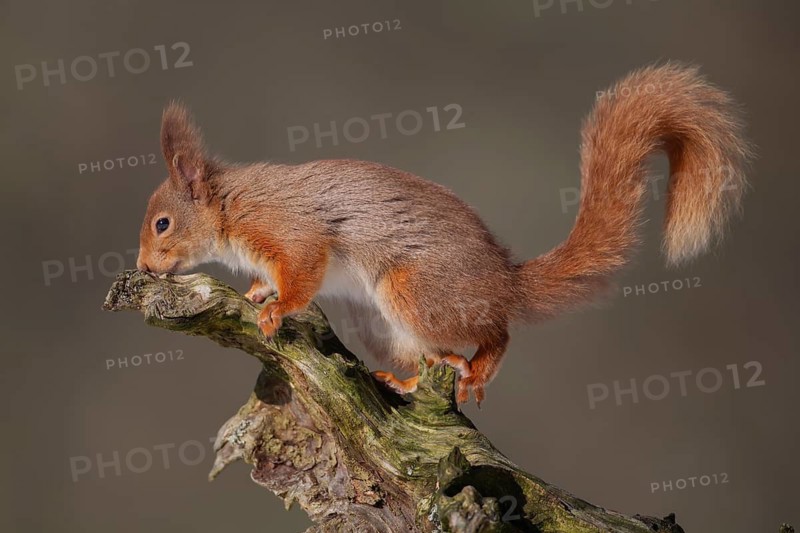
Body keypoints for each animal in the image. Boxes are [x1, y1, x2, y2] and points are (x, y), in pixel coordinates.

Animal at [137, 63, 752, 405]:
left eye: (162, 223)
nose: (143, 267)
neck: (230, 207)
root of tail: (505, 279)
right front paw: (259, 291)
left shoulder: (290, 229)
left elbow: (303, 272)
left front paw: (275, 308)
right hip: (387, 326)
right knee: (431, 357)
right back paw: (407, 384)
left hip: (415, 291)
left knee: (498, 331)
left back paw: (477, 369)